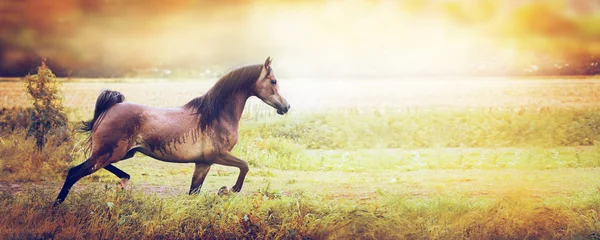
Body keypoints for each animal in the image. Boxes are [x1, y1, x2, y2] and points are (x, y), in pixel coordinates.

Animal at [55, 56, 290, 204]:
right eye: (273, 81)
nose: (286, 107)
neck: (214, 115)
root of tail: (109, 108)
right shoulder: (218, 155)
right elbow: (245, 166)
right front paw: (228, 190)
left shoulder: (203, 163)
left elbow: (194, 192)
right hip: (107, 153)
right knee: (74, 172)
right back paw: (57, 206)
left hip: (121, 154)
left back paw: (124, 180)